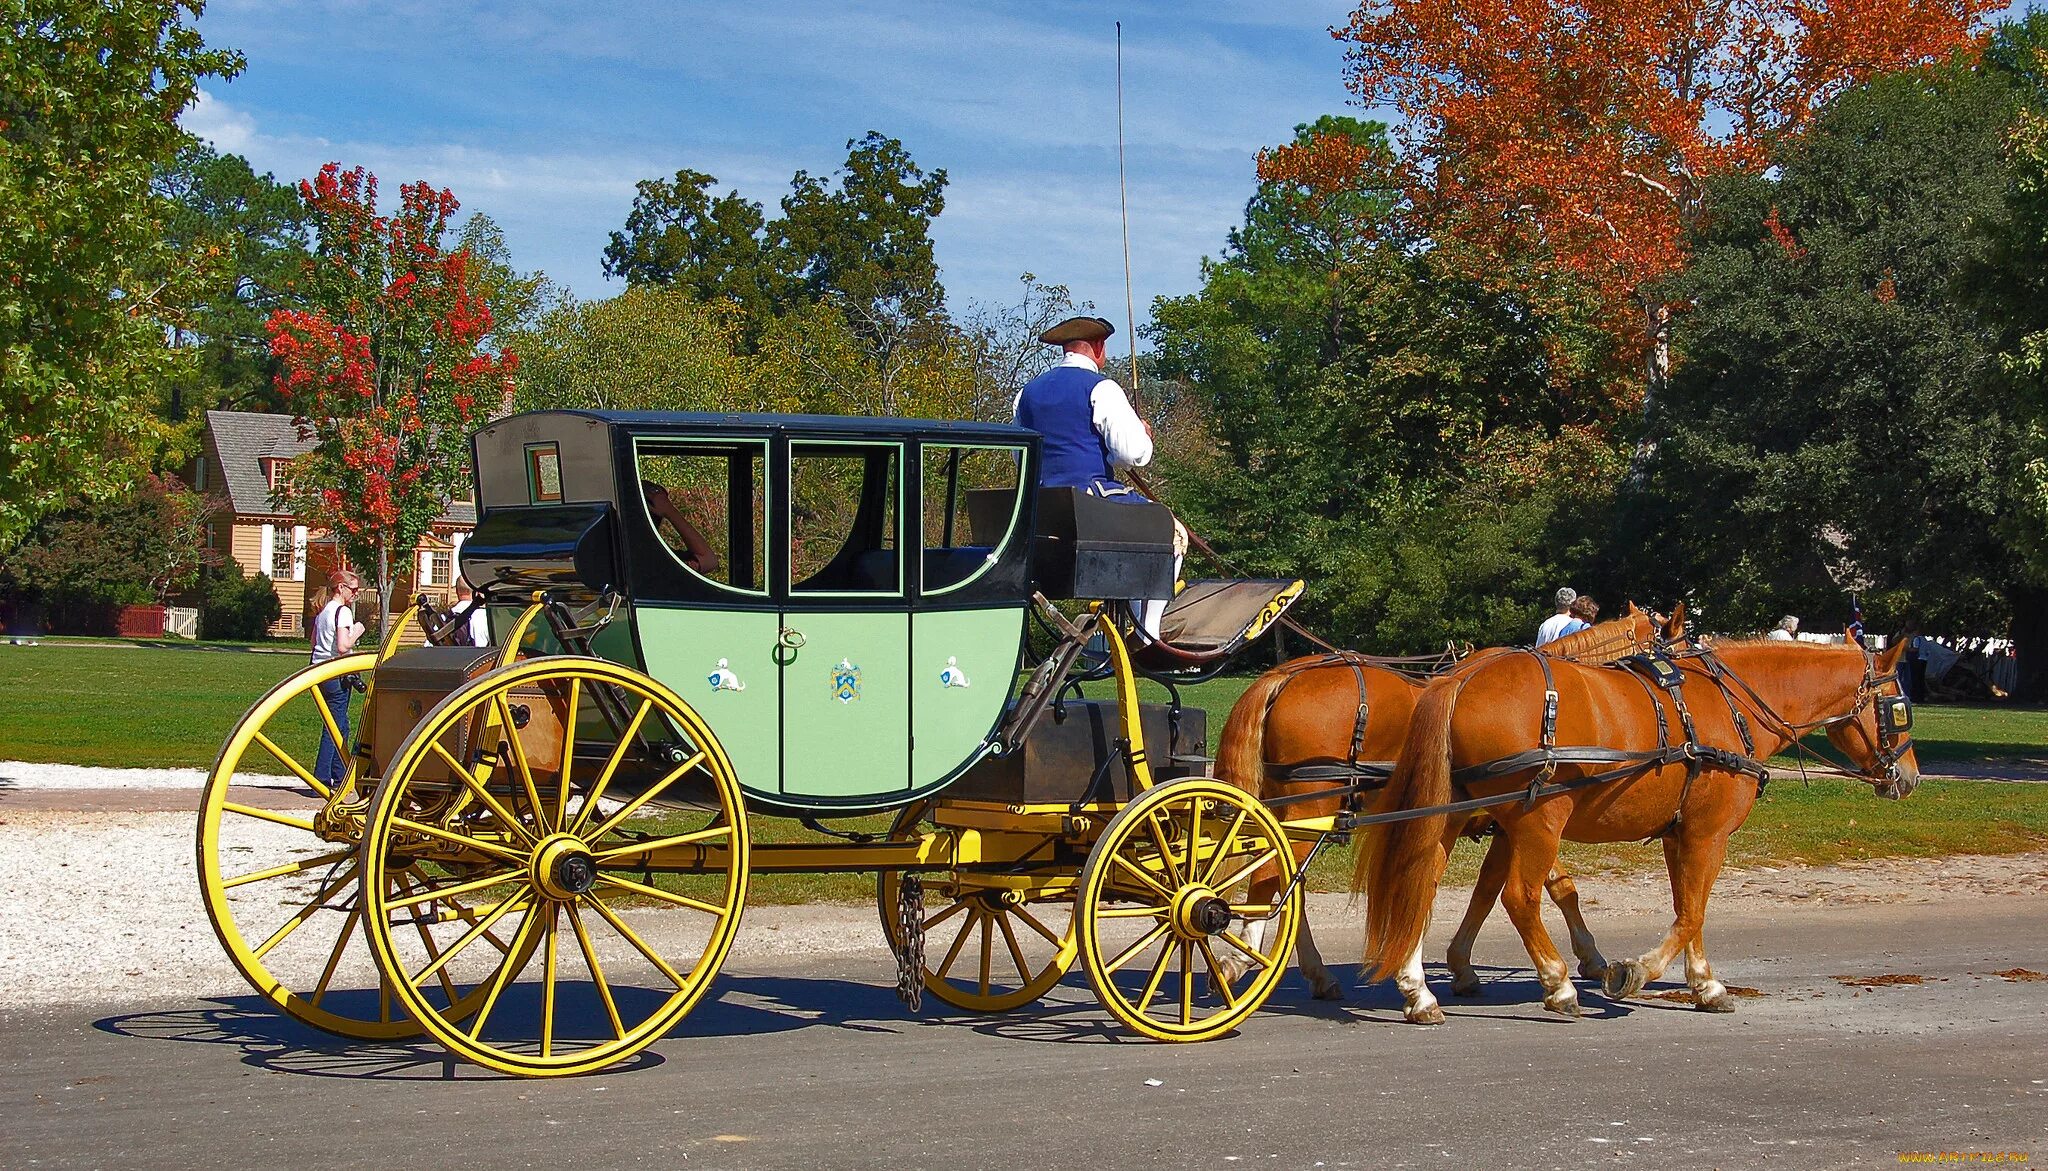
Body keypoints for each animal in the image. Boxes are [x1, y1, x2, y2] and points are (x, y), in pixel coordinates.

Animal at [1204, 601, 1671, 999]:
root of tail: (1283, 676)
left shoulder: (1511, 824)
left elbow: (1494, 889)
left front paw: (1461, 964)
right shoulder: (1524, 818)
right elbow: (1547, 888)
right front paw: (1587, 959)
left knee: (1278, 878)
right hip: (1308, 809)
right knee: (1275, 878)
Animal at [1359, 634, 1916, 1019]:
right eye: (1899, 709)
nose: (1908, 778)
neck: (1730, 706)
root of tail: (1461, 677)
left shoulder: (1679, 834)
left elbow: (1687, 907)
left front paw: (1702, 983)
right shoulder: (1708, 835)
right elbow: (1692, 912)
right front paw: (1641, 972)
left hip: (1451, 816)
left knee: (1420, 885)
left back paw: (1418, 991)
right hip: (1539, 819)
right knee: (1519, 896)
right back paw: (1557, 983)